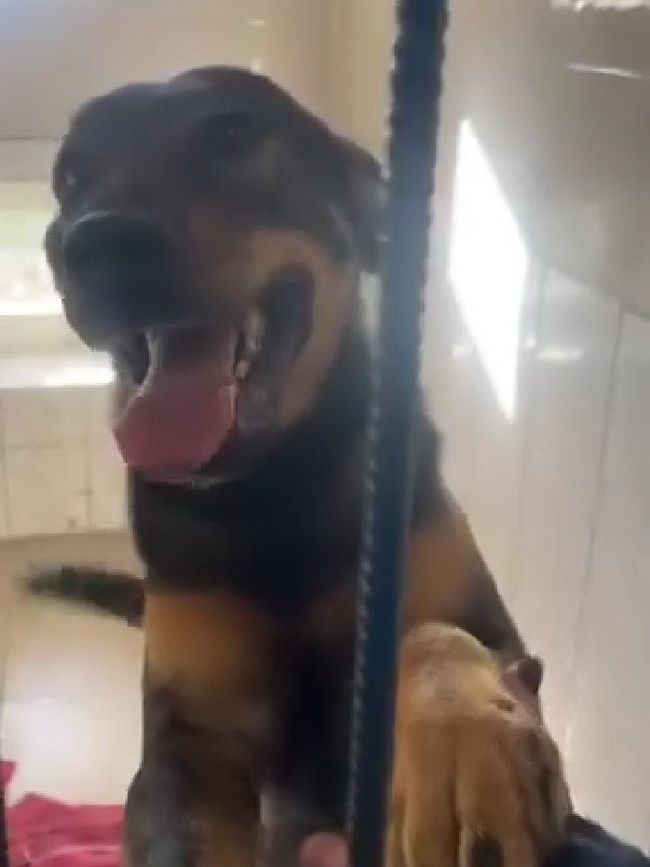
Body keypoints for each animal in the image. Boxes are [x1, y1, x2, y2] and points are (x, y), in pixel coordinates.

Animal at [42, 67, 571, 867]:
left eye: (232, 131)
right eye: (68, 176)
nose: (96, 243)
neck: (272, 486)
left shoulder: (490, 629)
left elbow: (441, 637)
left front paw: (463, 744)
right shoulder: (185, 748)